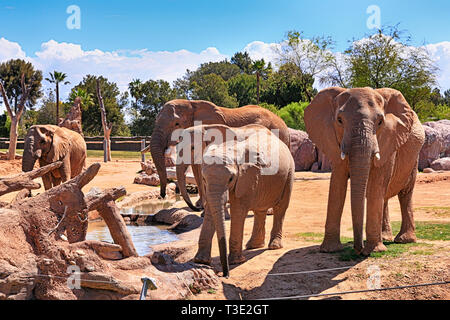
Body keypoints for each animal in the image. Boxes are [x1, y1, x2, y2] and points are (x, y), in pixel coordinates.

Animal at [302, 86, 426, 256]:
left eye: (380, 122)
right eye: (339, 120)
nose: (358, 249)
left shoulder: (389, 140)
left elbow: (376, 185)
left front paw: (374, 251)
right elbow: (337, 185)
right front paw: (329, 250)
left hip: (414, 158)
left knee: (404, 194)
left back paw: (403, 240)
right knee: (384, 196)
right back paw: (385, 237)